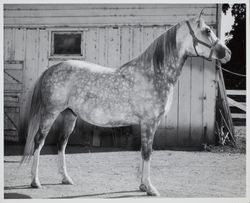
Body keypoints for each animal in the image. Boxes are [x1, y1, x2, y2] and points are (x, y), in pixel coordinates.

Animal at [19, 11, 230, 196]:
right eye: (207, 31)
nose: (227, 53)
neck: (154, 74)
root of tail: (52, 69)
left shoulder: (148, 124)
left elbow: (143, 152)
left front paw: (143, 186)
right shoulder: (149, 123)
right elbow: (147, 152)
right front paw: (150, 188)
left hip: (69, 115)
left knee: (61, 144)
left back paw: (66, 178)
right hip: (50, 113)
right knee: (39, 141)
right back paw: (35, 182)